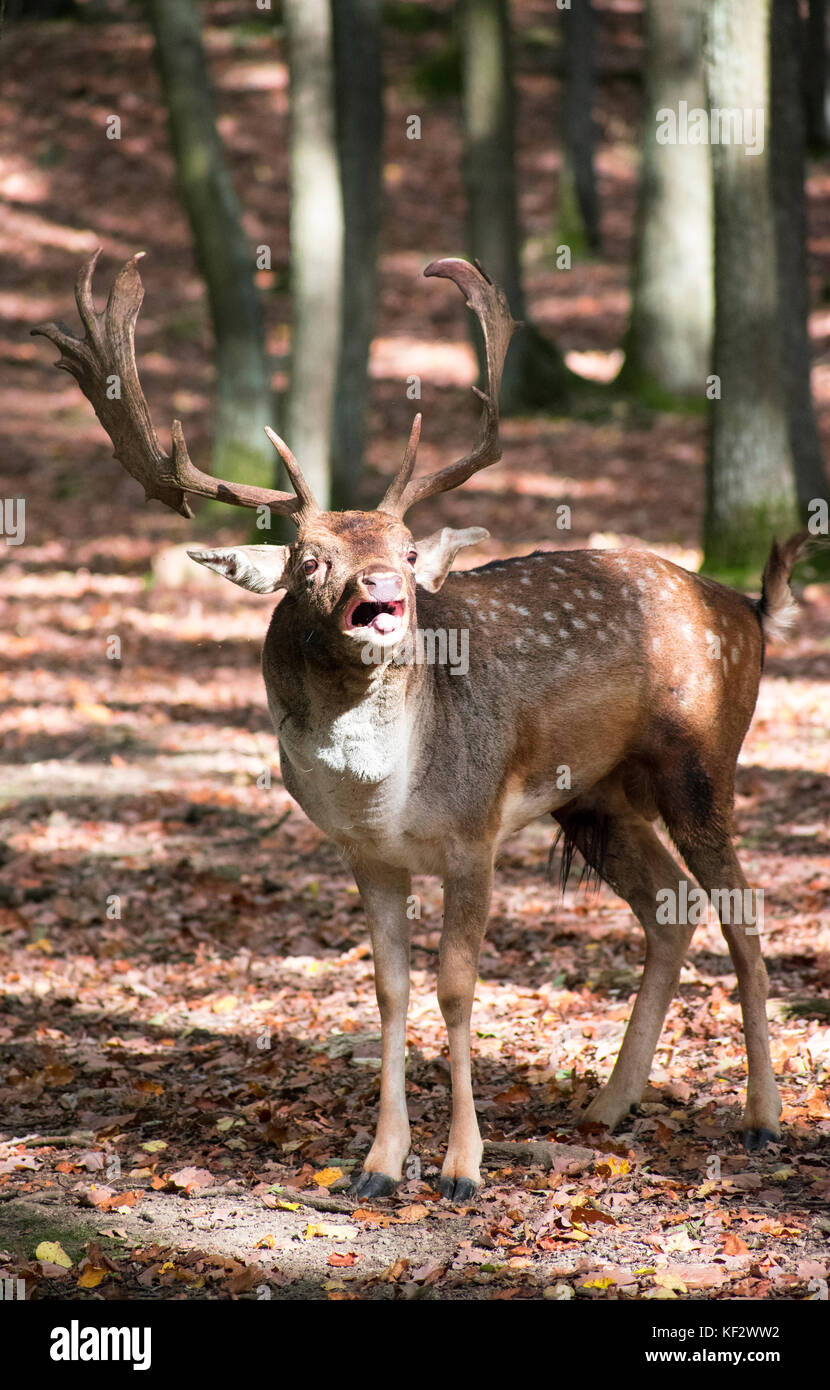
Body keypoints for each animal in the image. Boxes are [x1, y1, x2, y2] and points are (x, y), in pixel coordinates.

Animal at [32, 255, 800, 1200]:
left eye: (403, 550)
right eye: (308, 559)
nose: (383, 592)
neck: (386, 795)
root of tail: (751, 609)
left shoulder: (473, 834)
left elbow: (457, 986)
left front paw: (463, 1166)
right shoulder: (367, 857)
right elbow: (390, 990)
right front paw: (380, 1164)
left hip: (703, 762)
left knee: (745, 913)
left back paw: (763, 1119)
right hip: (595, 798)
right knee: (671, 907)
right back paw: (608, 1106)